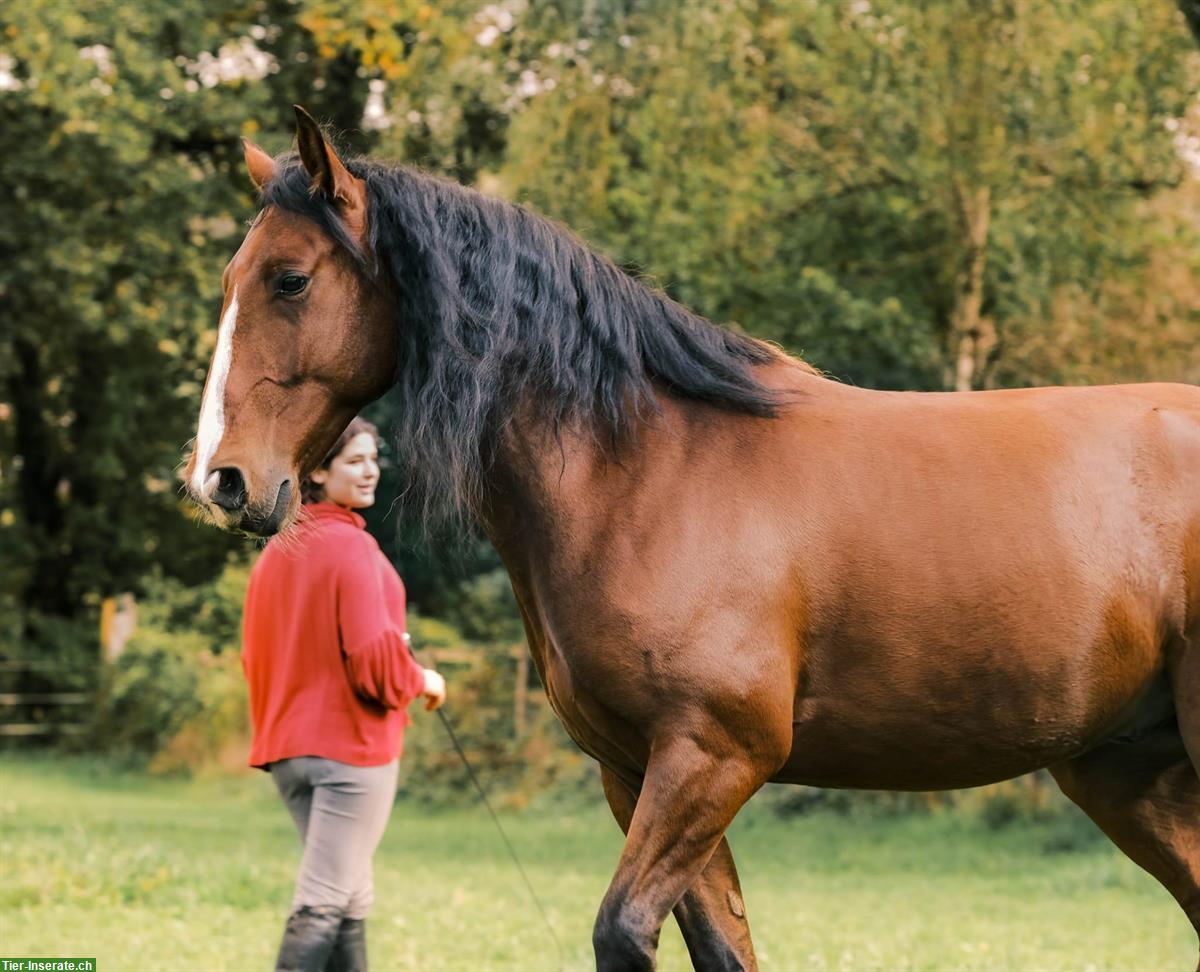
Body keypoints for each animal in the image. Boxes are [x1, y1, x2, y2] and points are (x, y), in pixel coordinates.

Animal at [187, 109, 1200, 964]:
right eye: (230, 281)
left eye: (290, 280)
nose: (221, 481)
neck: (651, 470)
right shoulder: (638, 772)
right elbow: (721, 946)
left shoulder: (713, 758)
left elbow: (623, 930)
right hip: (1124, 772)